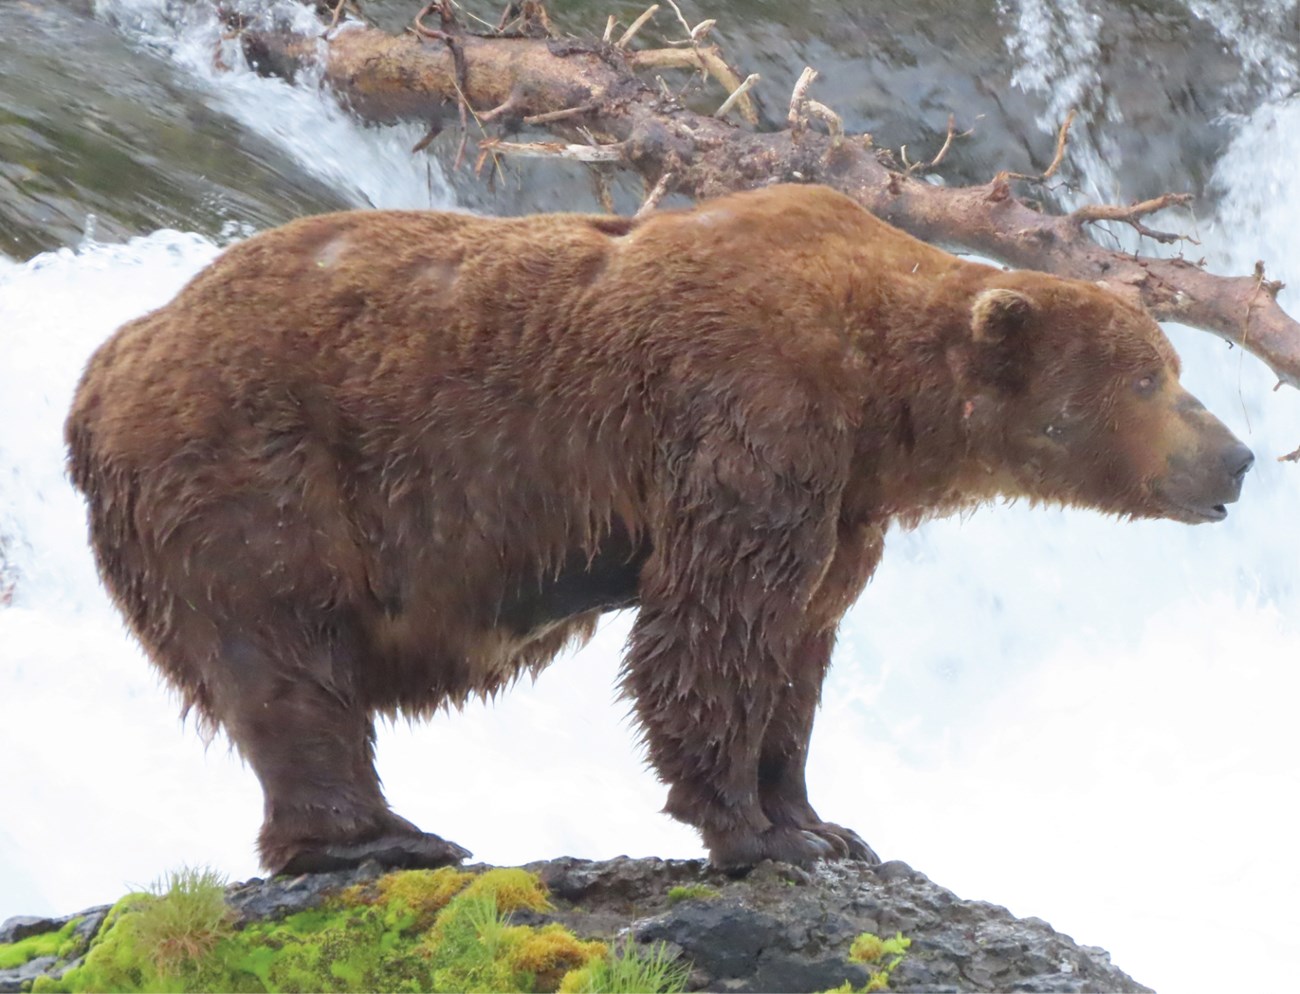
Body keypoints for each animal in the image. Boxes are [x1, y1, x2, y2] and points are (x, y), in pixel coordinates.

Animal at [65, 181, 1253, 873]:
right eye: (1150, 378)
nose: (1238, 458)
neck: (885, 399)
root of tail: (107, 362)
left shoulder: (844, 501)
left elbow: (799, 644)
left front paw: (815, 819)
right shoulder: (750, 420)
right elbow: (713, 627)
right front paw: (747, 829)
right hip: (252, 467)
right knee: (287, 656)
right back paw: (376, 837)